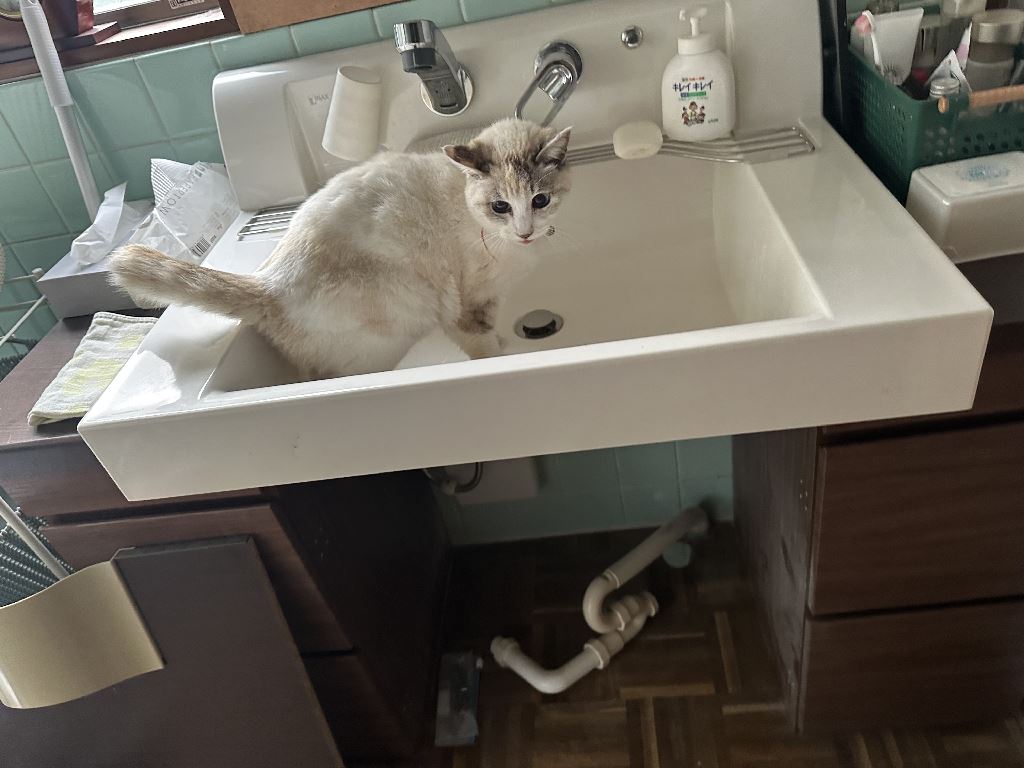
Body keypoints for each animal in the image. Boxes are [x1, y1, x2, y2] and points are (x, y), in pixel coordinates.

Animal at [110, 118, 572, 380]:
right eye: (500, 206)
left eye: (540, 200)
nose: (525, 232)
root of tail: (268, 284)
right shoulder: (467, 304)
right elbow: (483, 346)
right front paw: (500, 359)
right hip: (400, 314)